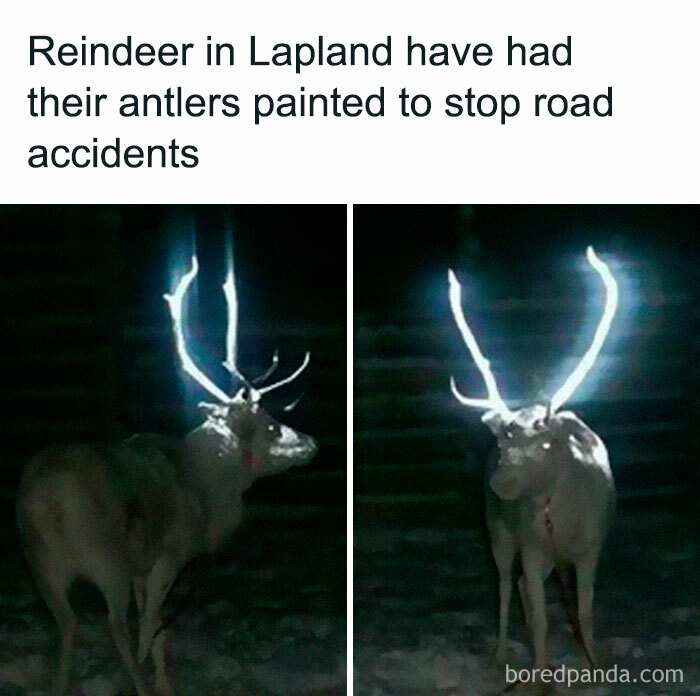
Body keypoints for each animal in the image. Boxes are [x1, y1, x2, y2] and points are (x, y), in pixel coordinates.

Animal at [16, 255, 317, 696]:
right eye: (272, 426)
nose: (312, 443)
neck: (207, 494)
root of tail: (47, 499)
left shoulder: (141, 569)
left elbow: (155, 627)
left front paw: (162, 681)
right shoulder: (167, 555)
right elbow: (154, 627)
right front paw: (158, 680)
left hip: (41, 565)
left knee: (69, 624)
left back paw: (62, 685)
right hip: (105, 555)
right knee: (115, 626)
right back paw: (134, 681)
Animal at [447, 247, 618, 676]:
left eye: (545, 444)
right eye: (504, 440)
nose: (501, 481)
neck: (560, 522)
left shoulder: (591, 546)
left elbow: (585, 612)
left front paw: (592, 667)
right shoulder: (532, 544)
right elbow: (540, 618)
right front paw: (542, 677)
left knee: (524, 587)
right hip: (499, 533)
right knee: (508, 586)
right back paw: (503, 654)